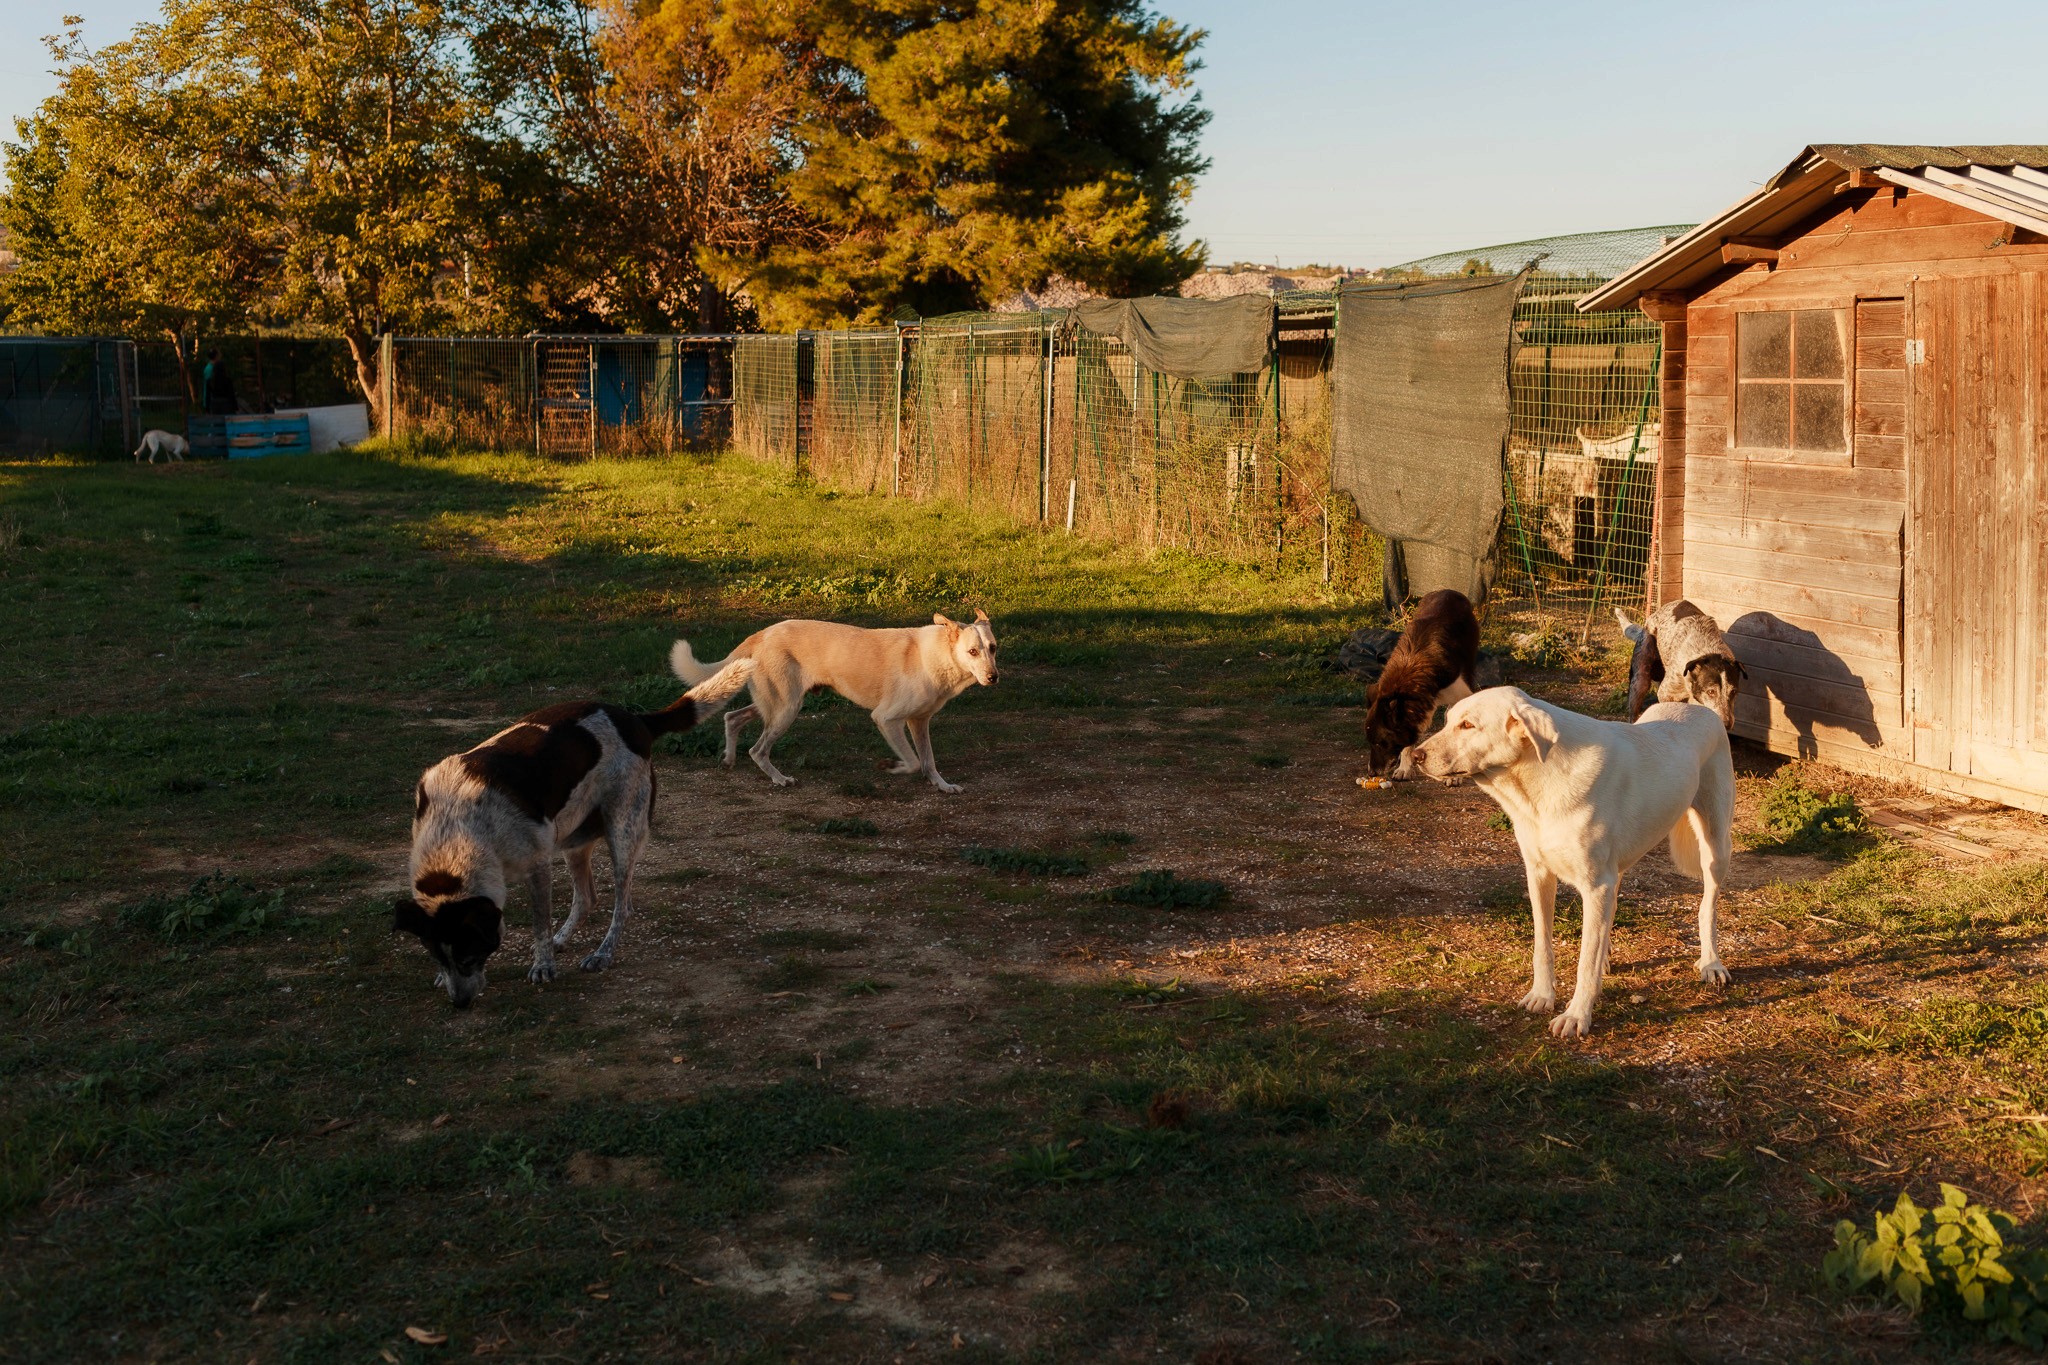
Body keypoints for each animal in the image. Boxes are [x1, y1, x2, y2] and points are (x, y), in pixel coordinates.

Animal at [392, 658, 754, 1007]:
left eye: (469, 956)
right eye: (438, 957)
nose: (460, 1004)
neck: (457, 828)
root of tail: (637, 720)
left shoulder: (538, 866)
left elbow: (540, 923)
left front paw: (543, 967)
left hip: (623, 832)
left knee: (621, 905)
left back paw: (602, 954)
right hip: (572, 841)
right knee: (589, 898)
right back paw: (563, 940)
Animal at [670, 611, 998, 792]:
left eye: (993, 648)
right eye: (972, 651)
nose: (993, 677)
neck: (940, 655)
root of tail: (762, 633)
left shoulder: (919, 722)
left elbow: (928, 761)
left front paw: (943, 786)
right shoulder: (886, 719)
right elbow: (914, 762)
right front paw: (892, 768)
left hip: (774, 704)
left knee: (732, 717)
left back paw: (728, 759)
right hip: (786, 710)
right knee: (757, 750)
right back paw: (779, 779)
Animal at [1361, 589, 1481, 779]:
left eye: (1380, 743)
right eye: (1370, 742)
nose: (1372, 773)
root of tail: (1449, 591)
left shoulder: (1462, 693)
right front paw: (1404, 768)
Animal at [1413, 687, 1733, 1038]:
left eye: (1468, 725)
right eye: (1447, 721)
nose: (1415, 756)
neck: (1538, 782)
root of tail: (1698, 708)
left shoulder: (1595, 886)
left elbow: (1584, 962)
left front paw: (1577, 1015)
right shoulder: (1540, 875)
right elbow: (1543, 945)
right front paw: (1542, 995)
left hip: (1715, 849)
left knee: (1707, 907)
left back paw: (1711, 963)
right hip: (1617, 869)